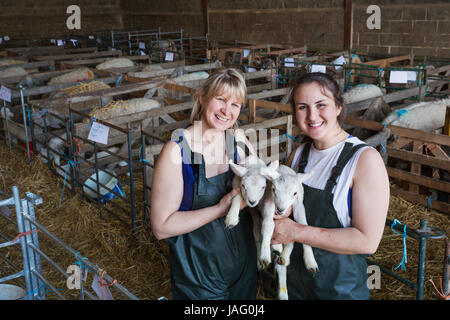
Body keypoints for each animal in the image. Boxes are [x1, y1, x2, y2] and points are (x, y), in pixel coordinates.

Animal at [260, 165, 316, 300]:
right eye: (274, 189)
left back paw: (284, 256)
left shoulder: (298, 204)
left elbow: (303, 225)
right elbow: (268, 225)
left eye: (294, 193)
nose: (280, 209)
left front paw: (310, 261)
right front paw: (264, 256)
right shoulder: (268, 202)